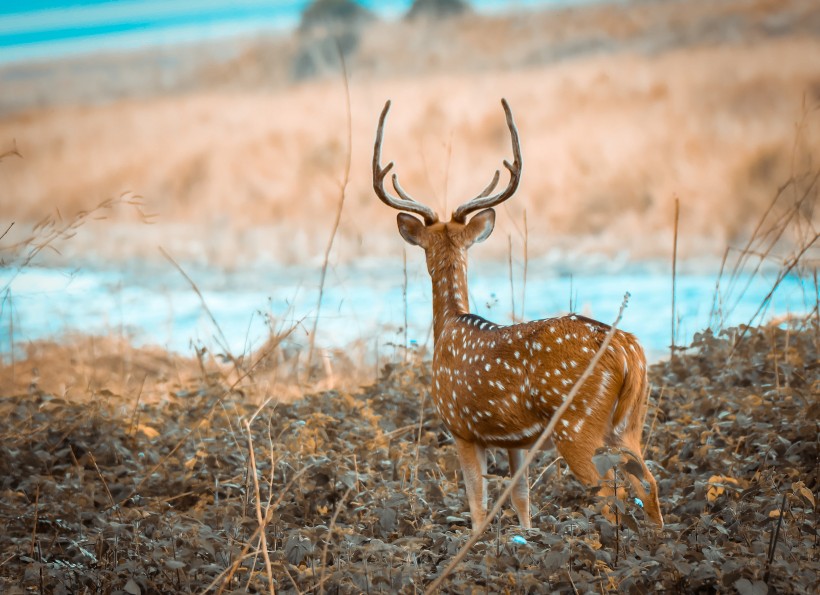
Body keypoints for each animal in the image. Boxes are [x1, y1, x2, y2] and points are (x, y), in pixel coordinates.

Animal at [374, 98, 664, 532]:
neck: (449, 326)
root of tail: (628, 352)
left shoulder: (461, 426)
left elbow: (478, 505)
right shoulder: (517, 441)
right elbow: (523, 500)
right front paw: (526, 537)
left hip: (578, 425)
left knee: (610, 494)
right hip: (630, 421)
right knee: (649, 482)